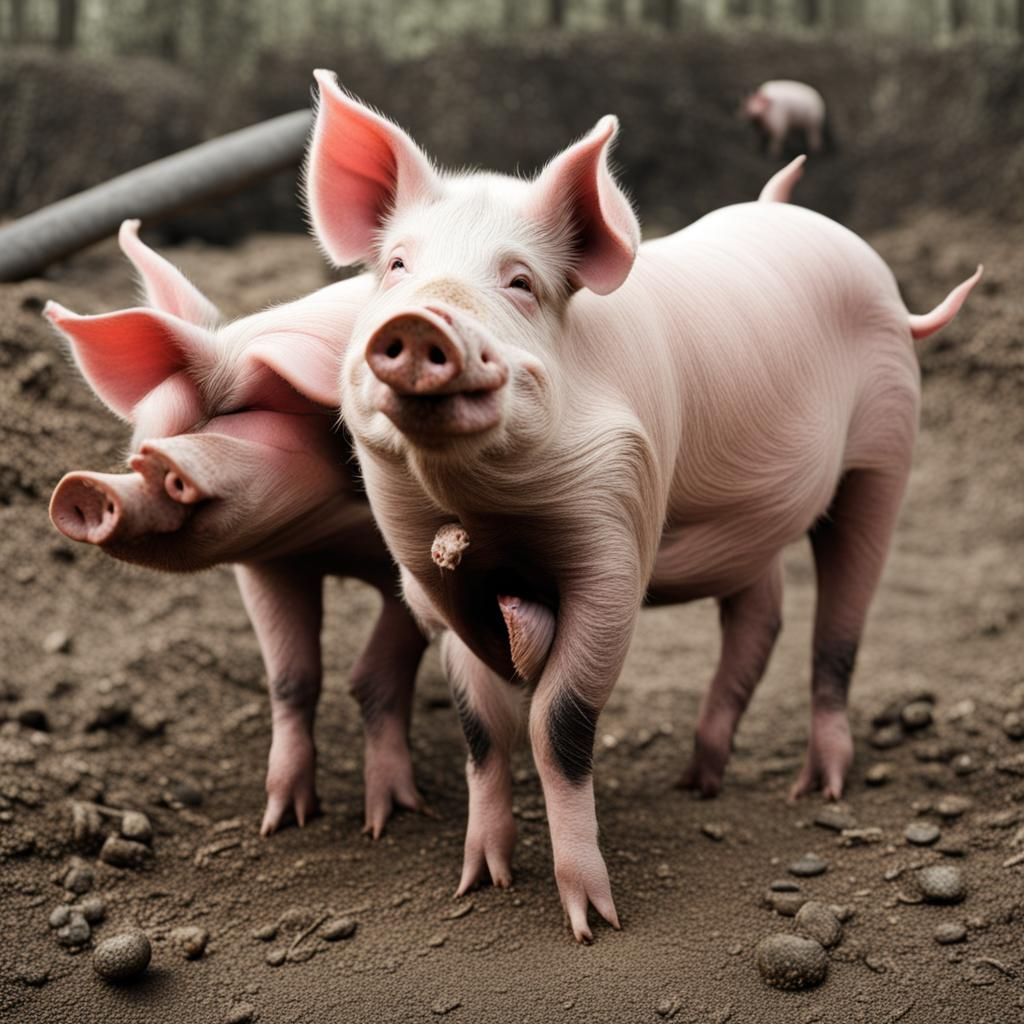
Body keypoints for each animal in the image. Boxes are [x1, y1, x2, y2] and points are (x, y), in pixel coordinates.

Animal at [46, 220, 428, 838]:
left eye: (238, 415)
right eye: (142, 442)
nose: (88, 486)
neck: (332, 537)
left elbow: (375, 676)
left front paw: (387, 821)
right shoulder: (268, 563)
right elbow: (291, 679)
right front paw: (280, 821)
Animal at [305, 70, 980, 940]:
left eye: (521, 282)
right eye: (395, 264)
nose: (422, 320)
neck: (480, 509)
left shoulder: (618, 538)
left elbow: (557, 721)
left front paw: (593, 922)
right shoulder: (430, 578)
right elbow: (482, 723)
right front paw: (478, 882)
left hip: (889, 444)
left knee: (840, 619)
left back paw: (819, 787)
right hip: (750, 522)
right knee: (760, 614)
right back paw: (700, 780)